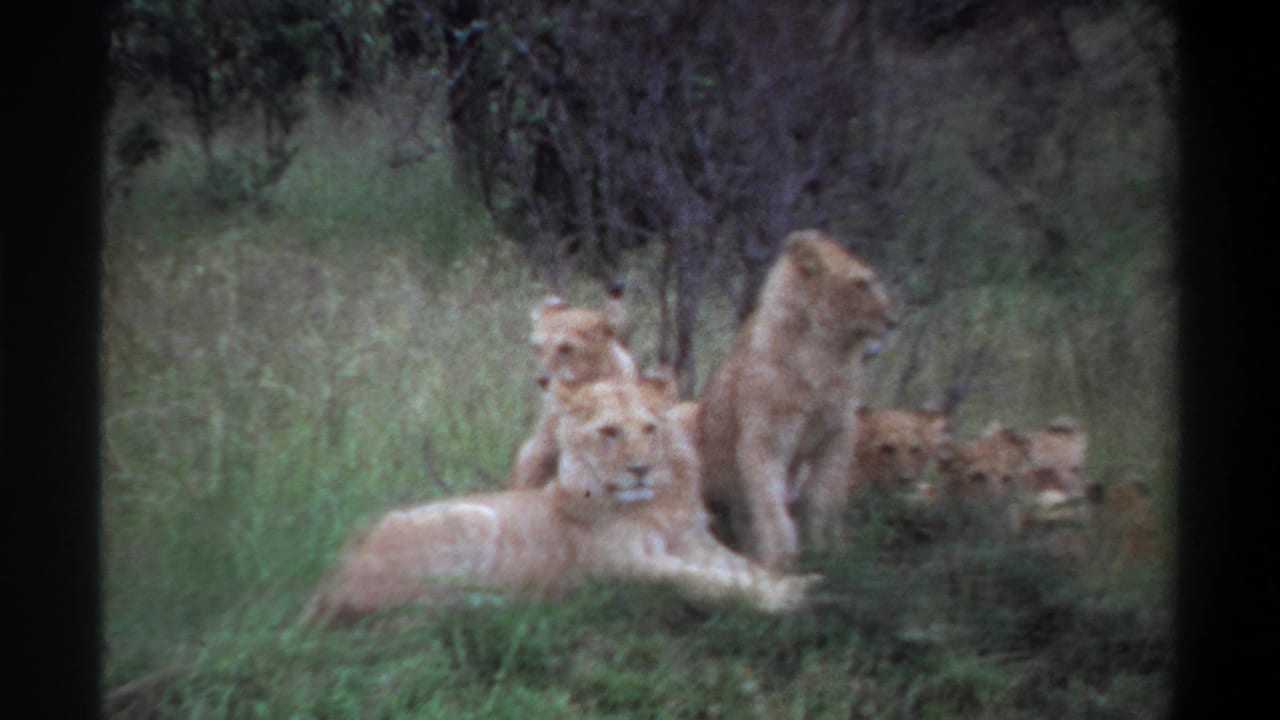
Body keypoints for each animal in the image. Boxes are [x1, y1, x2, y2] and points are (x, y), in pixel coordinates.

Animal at [304, 378, 815, 625]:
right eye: (609, 433)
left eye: (650, 429)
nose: (640, 469)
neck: (655, 504)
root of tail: (328, 582)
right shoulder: (622, 566)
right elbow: (700, 581)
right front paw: (786, 598)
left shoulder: (695, 543)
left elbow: (743, 567)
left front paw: (795, 581)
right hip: (469, 518)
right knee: (420, 607)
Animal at [700, 229, 896, 568]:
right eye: (861, 284)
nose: (893, 320)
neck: (826, 353)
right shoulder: (765, 439)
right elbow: (769, 502)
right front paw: (780, 557)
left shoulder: (839, 434)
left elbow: (821, 497)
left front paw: (826, 550)